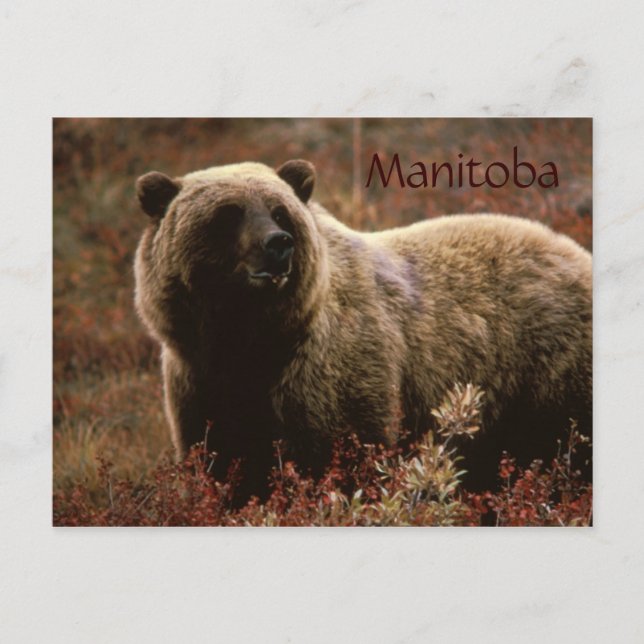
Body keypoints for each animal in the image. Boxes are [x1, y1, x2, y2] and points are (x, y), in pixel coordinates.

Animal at [134, 159, 592, 498]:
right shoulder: (200, 381)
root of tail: (575, 250)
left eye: (279, 211)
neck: (250, 340)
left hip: (547, 374)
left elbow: (341, 456)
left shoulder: (327, 372)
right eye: (228, 214)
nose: (278, 243)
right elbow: (222, 462)